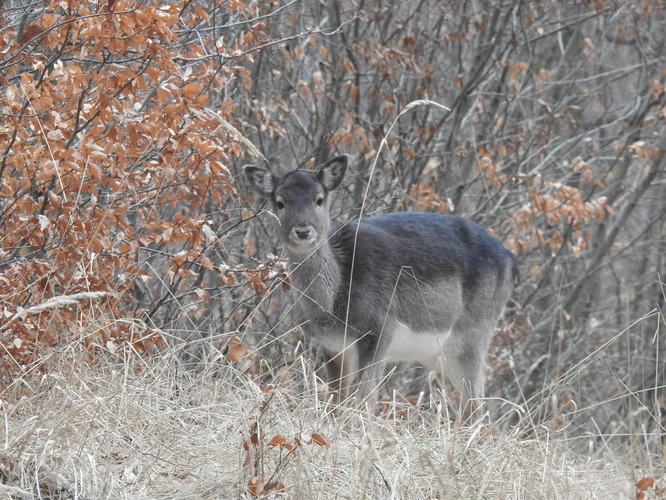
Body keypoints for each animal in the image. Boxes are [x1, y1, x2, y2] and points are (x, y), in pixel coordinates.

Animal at [245, 156, 520, 418]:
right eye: (280, 202)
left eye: (319, 199)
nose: (302, 230)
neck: (332, 307)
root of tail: (510, 260)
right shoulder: (331, 346)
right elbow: (335, 403)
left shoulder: (379, 329)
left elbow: (365, 401)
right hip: (441, 354)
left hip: (475, 332)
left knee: (476, 406)